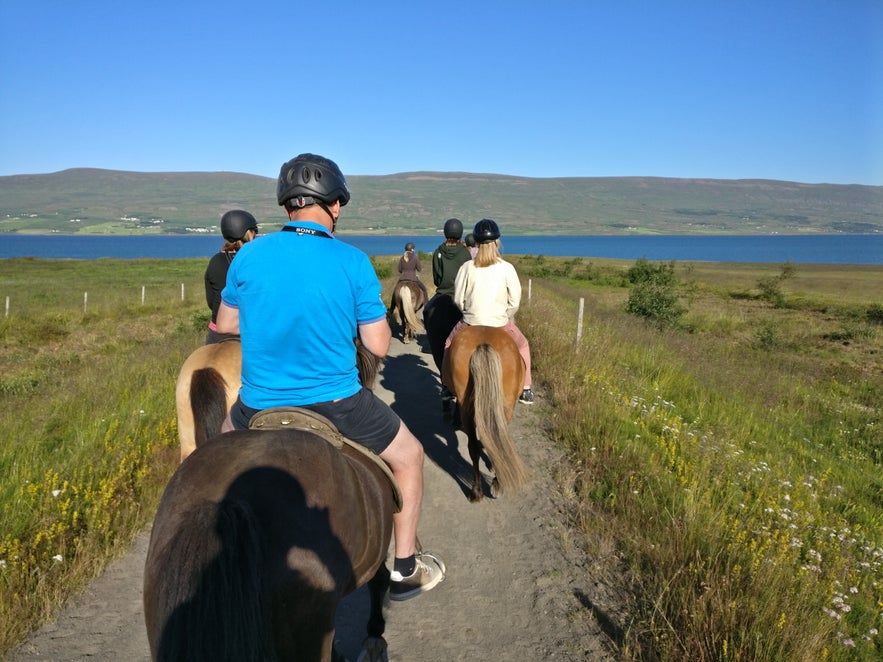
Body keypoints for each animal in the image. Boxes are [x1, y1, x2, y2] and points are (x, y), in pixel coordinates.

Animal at [442, 326, 532, 504]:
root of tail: (483, 345)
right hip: (503, 406)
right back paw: (491, 486)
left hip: (469, 405)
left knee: (477, 445)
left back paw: (477, 491)